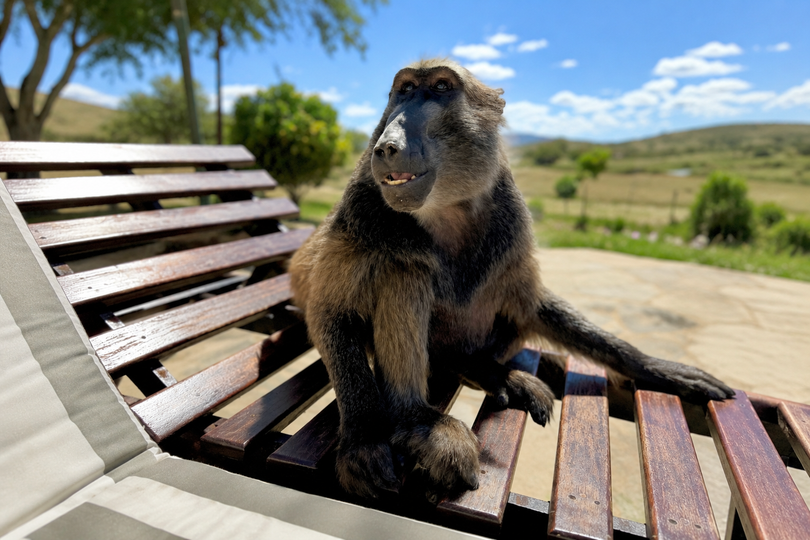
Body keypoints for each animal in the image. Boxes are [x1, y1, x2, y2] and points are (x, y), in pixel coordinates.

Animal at [288, 58, 734, 500]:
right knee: (404, 268)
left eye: (440, 87)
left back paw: (483, 369)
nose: (386, 145)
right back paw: (415, 418)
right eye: (405, 89)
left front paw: (656, 367)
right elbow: (332, 314)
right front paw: (364, 438)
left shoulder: (511, 219)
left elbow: (532, 303)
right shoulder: (361, 211)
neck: (446, 212)